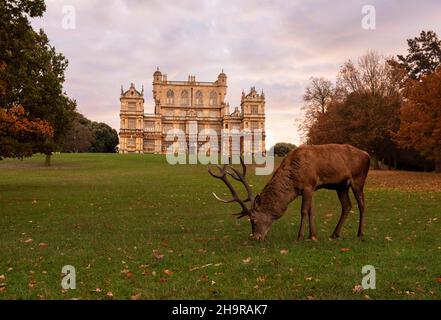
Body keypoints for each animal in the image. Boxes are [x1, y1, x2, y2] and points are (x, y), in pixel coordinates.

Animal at [208, 144, 370, 240]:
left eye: (253, 219)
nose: (255, 238)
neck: (293, 182)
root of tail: (367, 155)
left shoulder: (308, 185)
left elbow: (304, 211)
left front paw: (300, 236)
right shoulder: (311, 188)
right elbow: (311, 210)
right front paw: (313, 235)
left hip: (358, 179)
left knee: (362, 204)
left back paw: (360, 233)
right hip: (341, 186)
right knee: (347, 206)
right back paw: (335, 234)